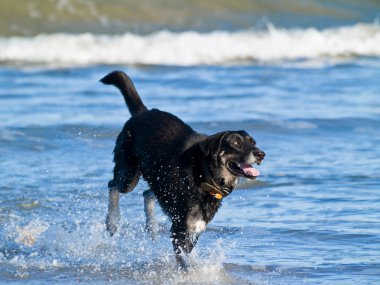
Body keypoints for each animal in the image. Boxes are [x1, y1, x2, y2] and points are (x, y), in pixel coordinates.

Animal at [102, 70, 266, 266]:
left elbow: (189, 255)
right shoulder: (180, 229)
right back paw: (113, 220)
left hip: (158, 179)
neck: (204, 173)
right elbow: (185, 262)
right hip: (129, 174)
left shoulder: (194, 228)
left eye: (253, 142)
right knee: (113, 185)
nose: (261, 154)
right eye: (235, 143)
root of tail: (143, 112)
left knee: (147, 193)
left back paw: (151, 226)